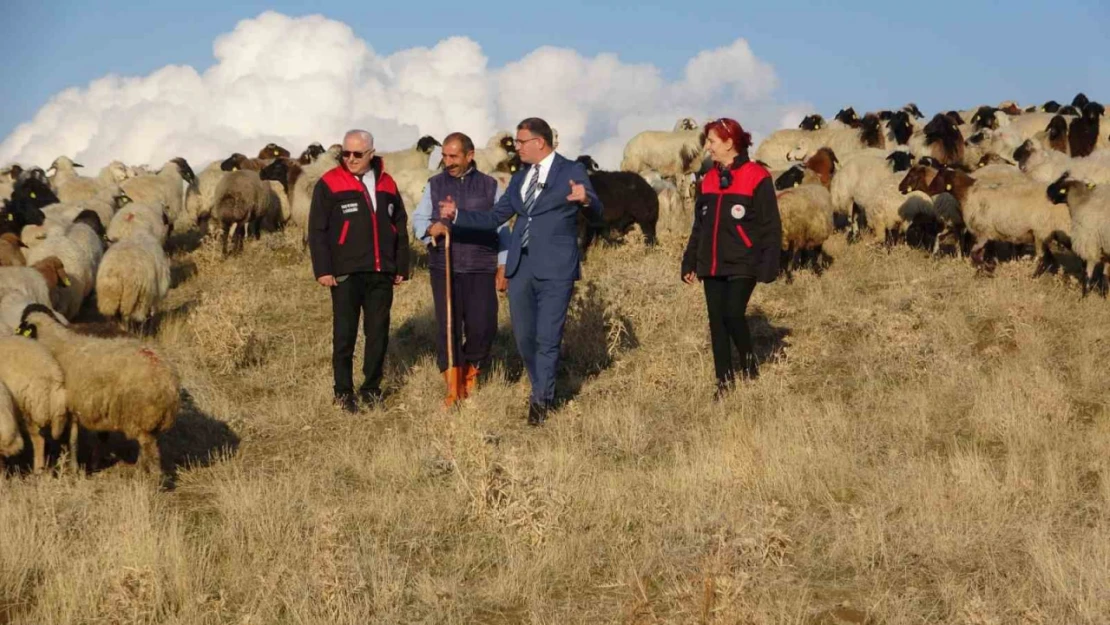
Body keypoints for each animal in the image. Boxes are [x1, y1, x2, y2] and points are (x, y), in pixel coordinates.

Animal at [16, 304, 179, 475]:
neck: (55, 342)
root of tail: (169, 382)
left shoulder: (70, 406)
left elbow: (72, 439)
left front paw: (73, 468)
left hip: (142, 416)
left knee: (149, 450)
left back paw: (146, 475)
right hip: (152, 421)